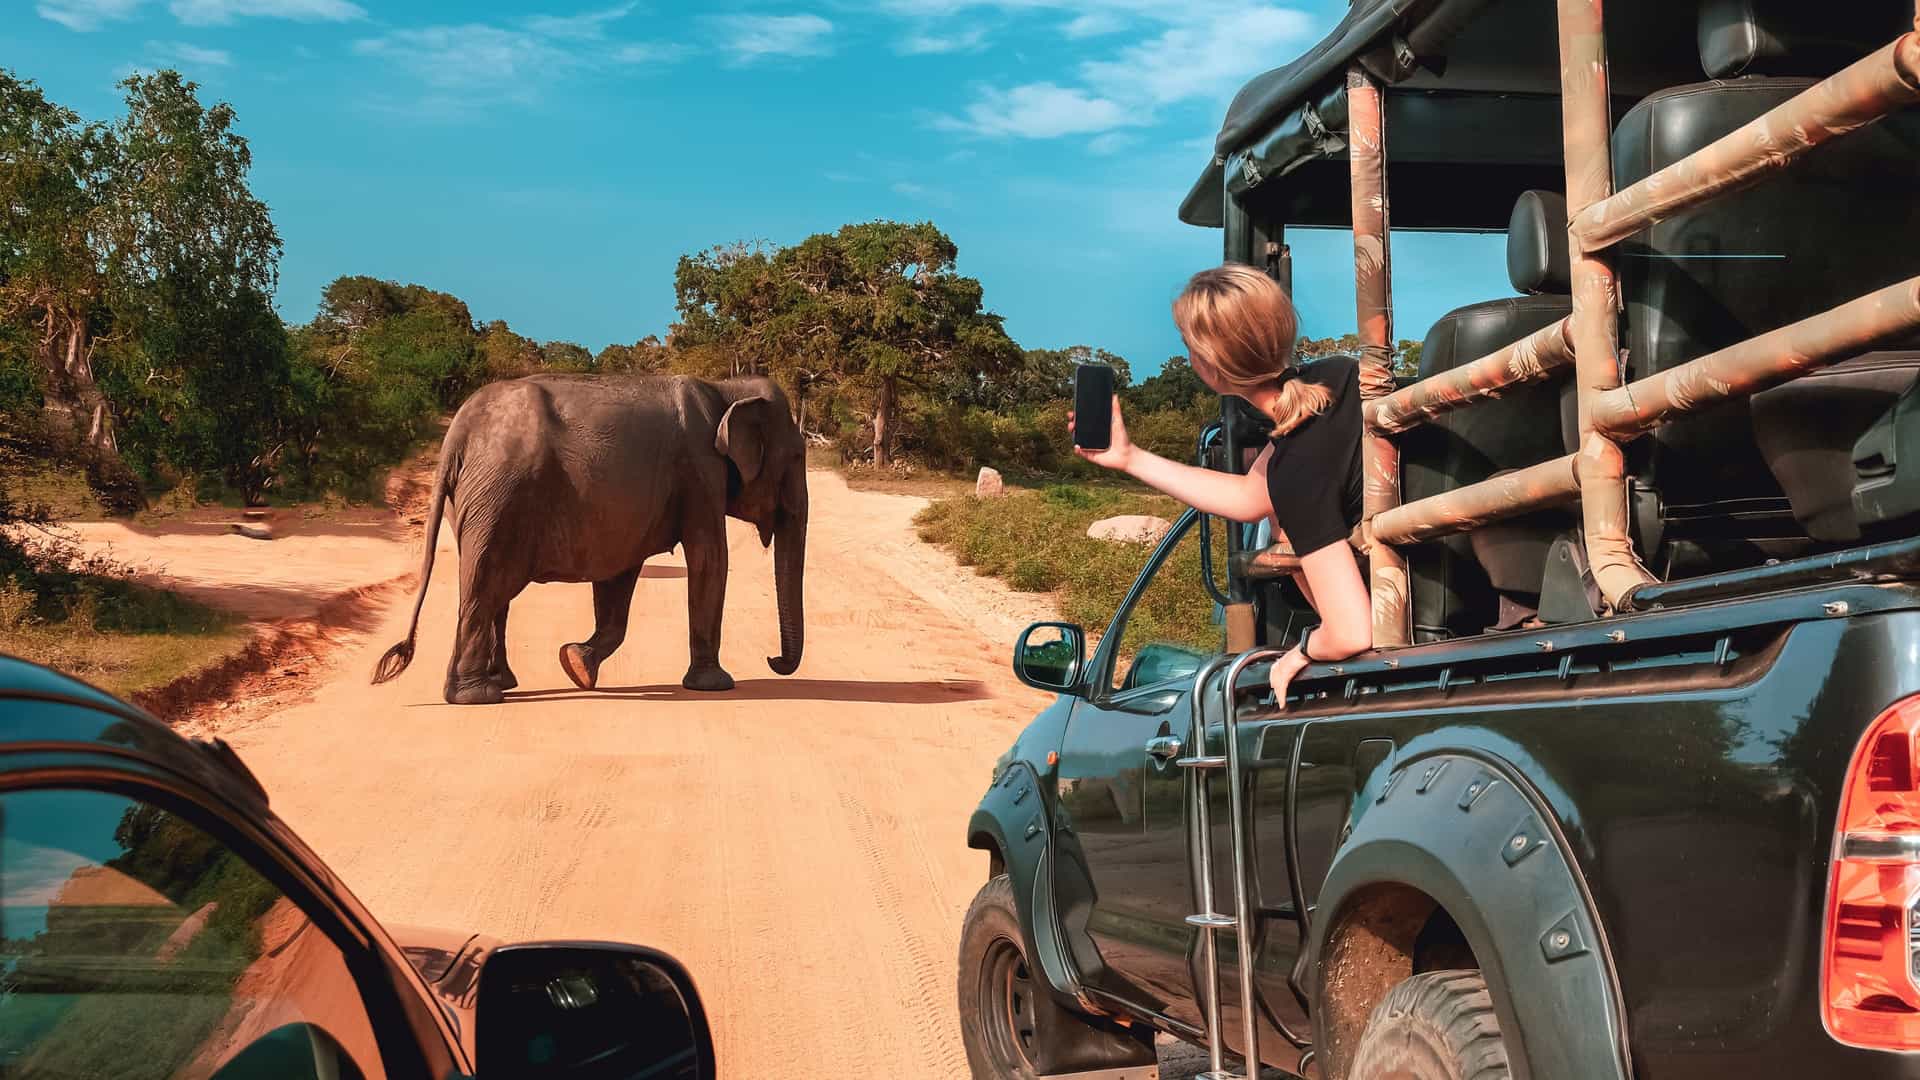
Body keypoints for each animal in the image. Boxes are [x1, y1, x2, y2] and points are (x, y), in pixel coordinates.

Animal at [369, 373, 807, 705]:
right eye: (797, 458)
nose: (772, 659)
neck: (728, 389)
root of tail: (457, 432)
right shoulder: (700, 472)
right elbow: (709, 558)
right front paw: (715, 686)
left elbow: (620, 574)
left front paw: (576, 664)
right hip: (499, 497)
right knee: (485, 585)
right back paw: (478, 697)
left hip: (479, 501)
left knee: (493, 591)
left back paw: (502, 683)